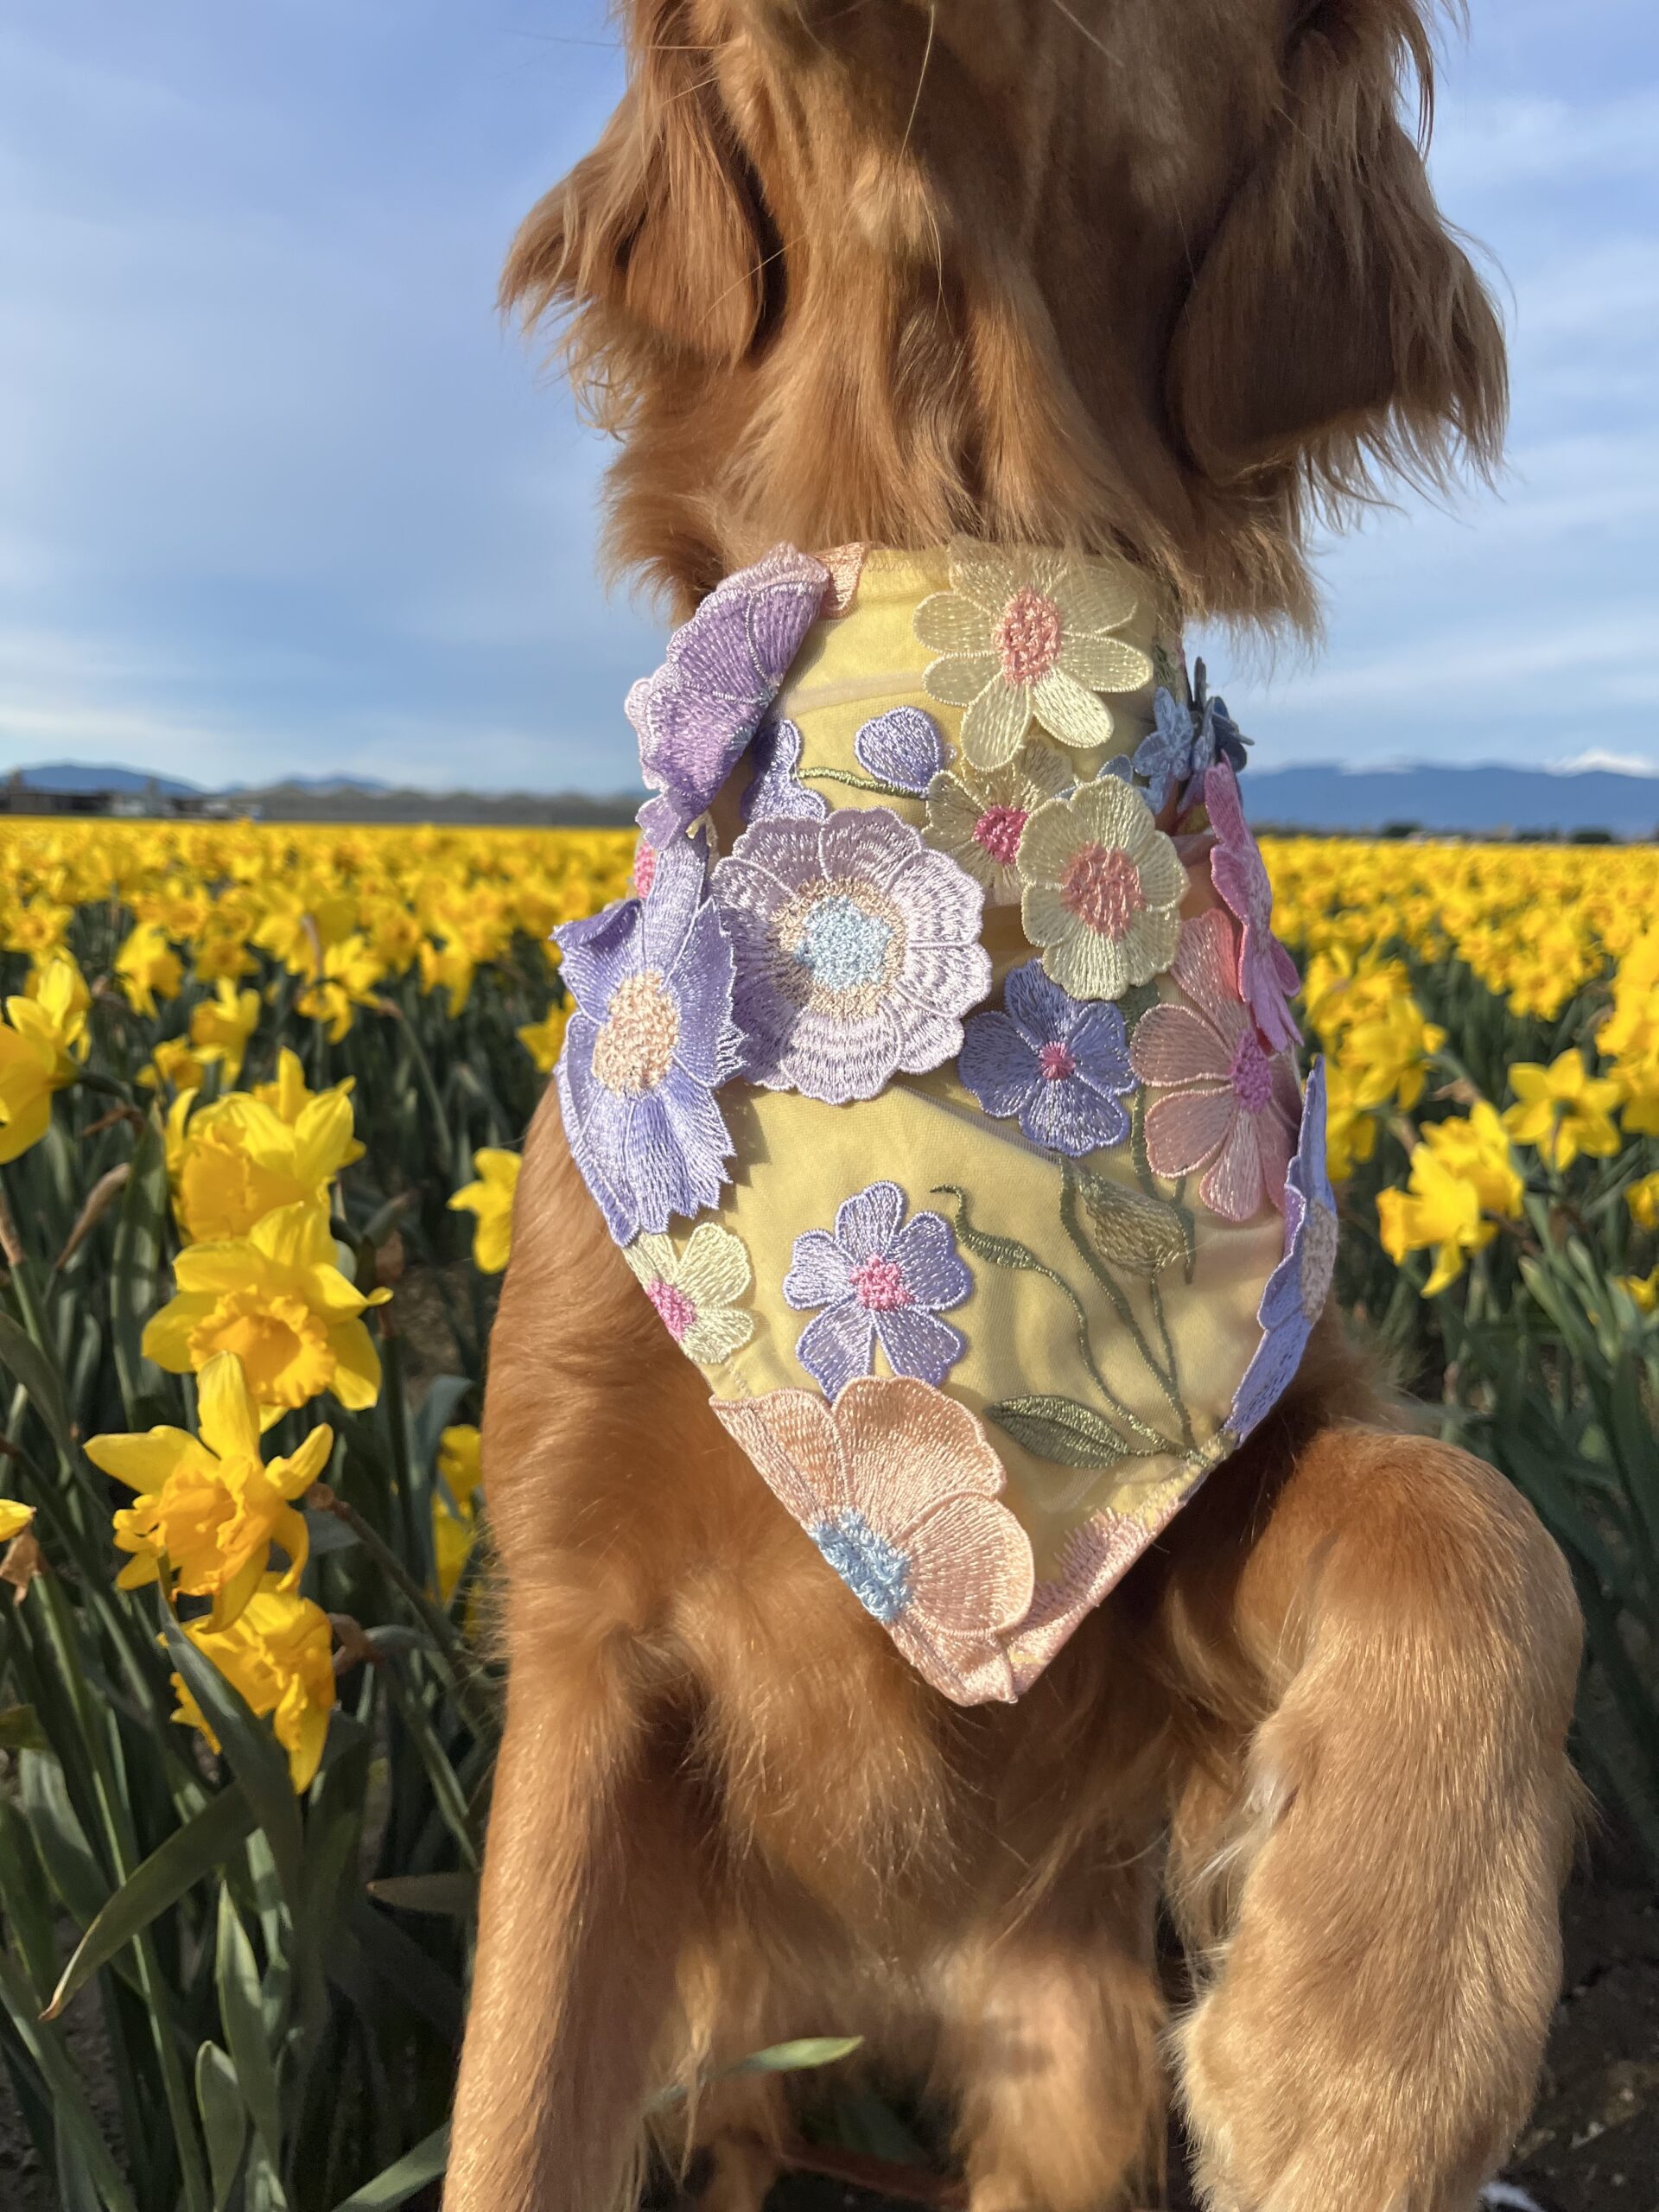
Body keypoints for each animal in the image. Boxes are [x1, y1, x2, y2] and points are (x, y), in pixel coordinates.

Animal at [448, 9, 1592, 2202]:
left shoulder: (1165, 1548)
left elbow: (1474, 1518)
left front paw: (1362, 2041)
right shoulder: (586, 1629)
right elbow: (510, 2122)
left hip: (1063, 2070)